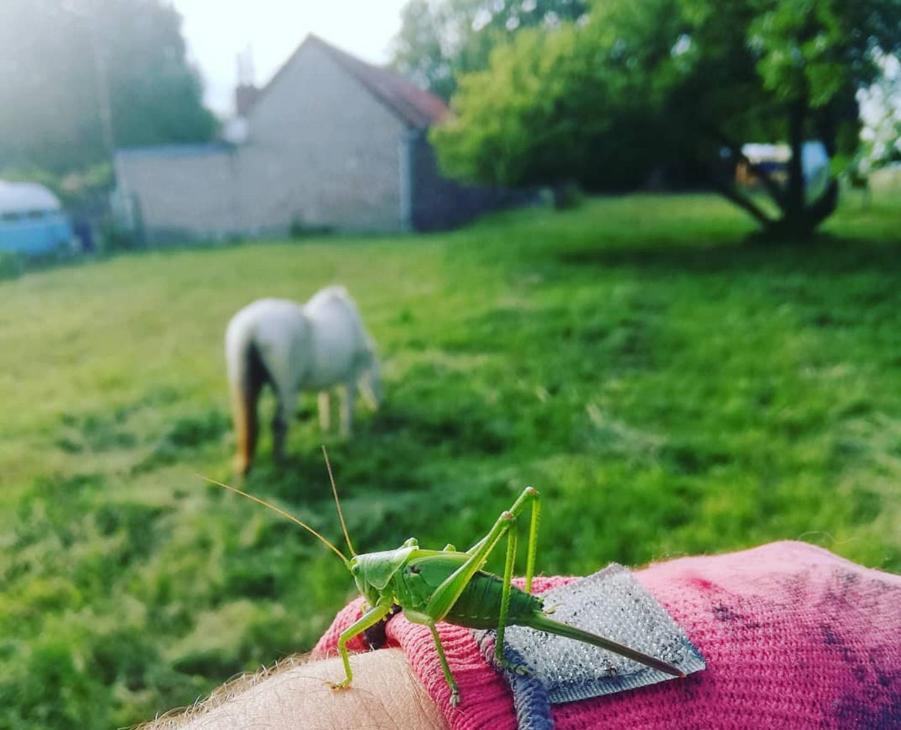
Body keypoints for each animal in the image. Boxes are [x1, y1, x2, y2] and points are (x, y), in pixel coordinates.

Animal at [227, 284, 382, 472]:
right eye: (378, 378)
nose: (379, 407)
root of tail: (252, 327)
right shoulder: (350, 378)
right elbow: (347, 406)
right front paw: (347, 435)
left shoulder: (327, 379)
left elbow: (325, 399)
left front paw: (326, 428)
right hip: (287, 391)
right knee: (279, 424)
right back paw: (282, 461)